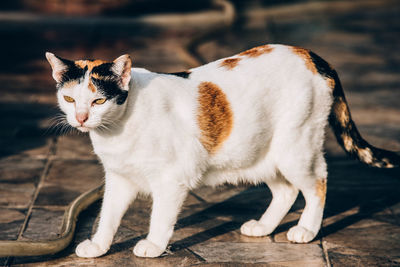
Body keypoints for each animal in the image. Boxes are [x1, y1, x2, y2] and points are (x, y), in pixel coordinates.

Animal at [45, 44, 398, 260]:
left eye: (98, 100)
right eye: (70, 99)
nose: (81, 118)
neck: (117, 128)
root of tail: (311, 55)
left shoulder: (172, 180)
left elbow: (160, 216)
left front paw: (155, 245)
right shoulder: (119, 179)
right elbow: (108, 216)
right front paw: (99, 246)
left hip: (295, 148)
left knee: (318, 182)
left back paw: (307, 230)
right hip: (261, 153)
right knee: (286, 191)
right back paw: (264, 227)